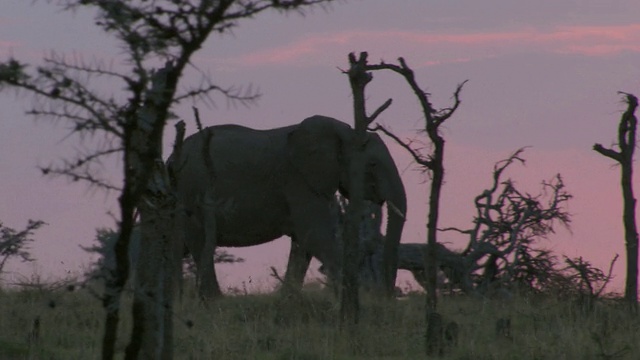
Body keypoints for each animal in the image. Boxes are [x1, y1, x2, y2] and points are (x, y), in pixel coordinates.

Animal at [168, 114, 408, 298]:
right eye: (372, 164)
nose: (389, 295)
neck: (344, 132)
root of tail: (170, 159)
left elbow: (303, 243)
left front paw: (287, 297)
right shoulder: (298, 179)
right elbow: (316, 236)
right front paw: (344, 295)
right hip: (192, 190)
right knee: (198, 243)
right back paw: (214, 301)